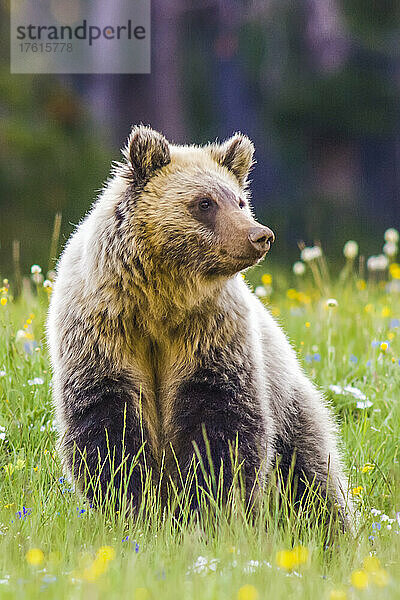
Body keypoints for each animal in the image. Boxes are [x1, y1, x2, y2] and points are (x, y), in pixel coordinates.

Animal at [47, 124, 352, 528]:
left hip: (290, 406)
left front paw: (206, 511)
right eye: (204, 202)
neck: (160, 299)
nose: (259, 235)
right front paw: (131, 507)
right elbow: (108, 425)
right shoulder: (104, 331)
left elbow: (220, 424)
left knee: (312, 481)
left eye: (239, 201)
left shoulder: (210, 333)